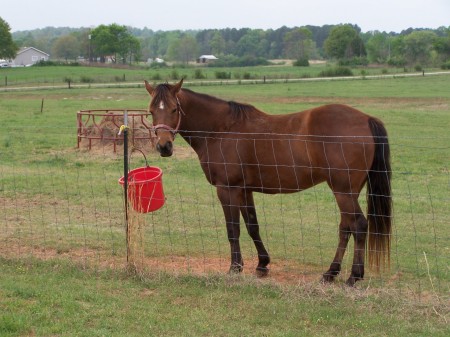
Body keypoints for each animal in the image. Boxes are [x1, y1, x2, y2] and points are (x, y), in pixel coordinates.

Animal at [143, 79, 390, 286]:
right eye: (151, 111)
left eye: (174, 109)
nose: (164, 146)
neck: (221, 129)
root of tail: (366, 119)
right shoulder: (244, 190)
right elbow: (252, 226)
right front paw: (262, 264)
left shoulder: (227, 189)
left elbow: (233, 228)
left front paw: (235, 267)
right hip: (348, 192)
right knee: (345, 227)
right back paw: (330, 273)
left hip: (343, 191)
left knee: (359, 225)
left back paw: (354, 276)